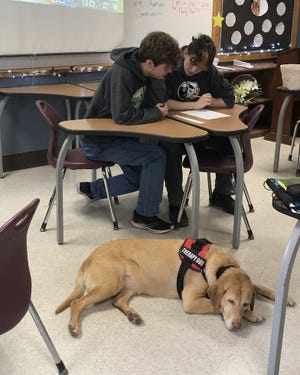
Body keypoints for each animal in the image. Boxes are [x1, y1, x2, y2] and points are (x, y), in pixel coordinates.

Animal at [54, 241, 296, 338]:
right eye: (230, 302)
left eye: (245, 303)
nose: (236, 326)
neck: (215, 265)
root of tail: (89, 257)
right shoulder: (191, 300)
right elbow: (215, 305)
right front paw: (254, 315)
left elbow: (257, 285)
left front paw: (282, 297)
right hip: (108, 284)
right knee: (77, 302)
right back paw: (73, 326)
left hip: (132, 286)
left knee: (117, 301)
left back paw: (133, 316)